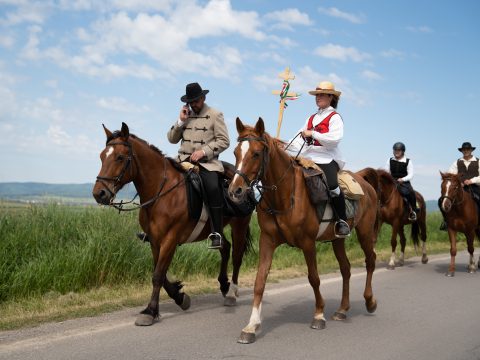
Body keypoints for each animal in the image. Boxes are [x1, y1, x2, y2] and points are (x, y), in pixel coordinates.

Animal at [91, 122, 253, 324]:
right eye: (102, 156)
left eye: (120, 157)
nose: (99, 194)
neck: (161, 193)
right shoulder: (154, 240)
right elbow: (159, 272)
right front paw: (179, 296)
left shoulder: (170, 239)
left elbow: (158, 275)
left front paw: (150, 311)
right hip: (217, 228)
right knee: (225, 248)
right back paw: (224, 285)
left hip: (240, 225)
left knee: (237, 256)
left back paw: (231, 293)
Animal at [228, 118, 378, 344]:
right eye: (236, 152)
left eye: (255, 153)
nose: (235, 191)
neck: (285, 194)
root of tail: (364, 182)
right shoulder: (267, 241)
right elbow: (260, 281)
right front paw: (251, 326)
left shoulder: (308, 243)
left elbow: (314, 278)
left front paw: (319, 315)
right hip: (338, 239)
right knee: (346, 268)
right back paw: (342, 309)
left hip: (365, 232)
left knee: (370, 260)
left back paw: (370, 301)